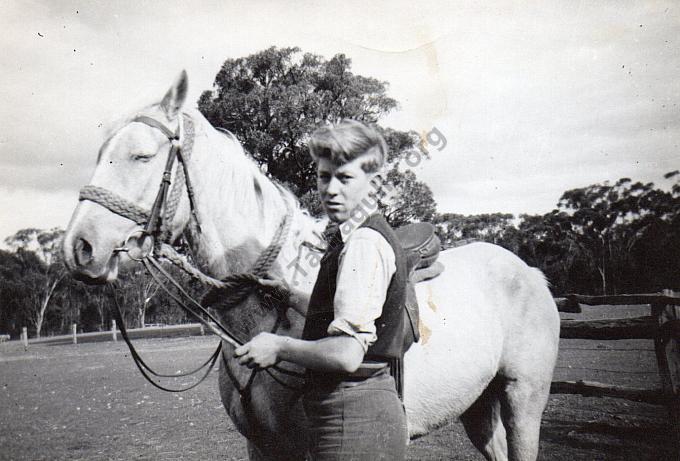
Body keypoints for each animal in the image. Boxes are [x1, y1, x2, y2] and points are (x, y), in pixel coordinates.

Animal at [62, 72, 556, 460]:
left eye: (142, 156)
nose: (78, 248)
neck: (263, 316)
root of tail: (531, 272)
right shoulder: (262, 446)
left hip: (522, 397)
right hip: (478, 405)